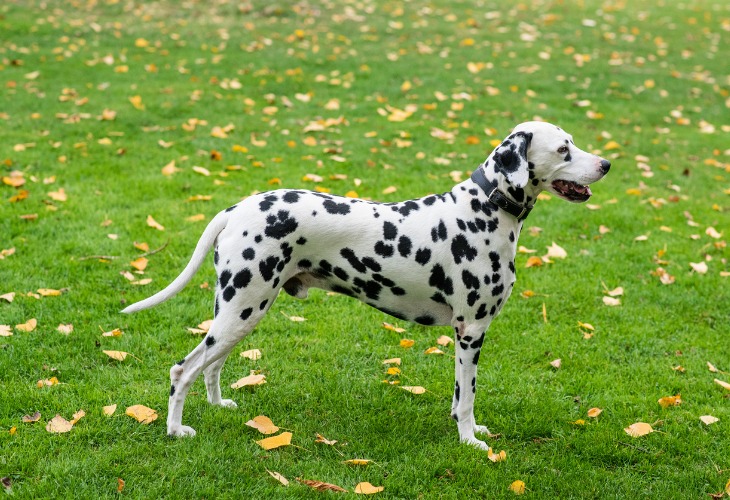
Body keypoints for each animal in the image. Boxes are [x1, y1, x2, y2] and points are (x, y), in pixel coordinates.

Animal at [123, 120, 608, 450]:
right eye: (564, 148)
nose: (606, 164)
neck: (485, 210)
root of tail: (237, 207)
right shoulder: (471, 332)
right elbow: (468, 397)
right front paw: (470, 441)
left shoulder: (465, 336)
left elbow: (460, 396)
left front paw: (467, 429)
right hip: (242, 309)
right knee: (183, 369)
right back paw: (175, 430)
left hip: (238, 314)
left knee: (211, 366)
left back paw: (217, 406)